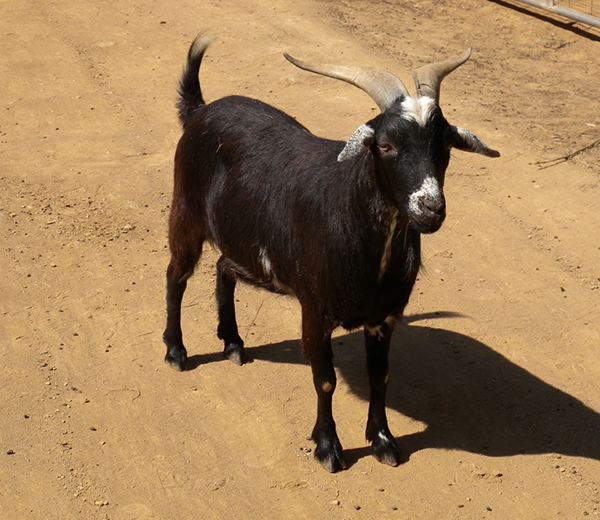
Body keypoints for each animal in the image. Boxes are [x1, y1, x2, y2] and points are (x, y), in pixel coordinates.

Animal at [162, 31, 500, 472]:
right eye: (386, 145)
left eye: (445, 146)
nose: (430, 209)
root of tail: (200, 110)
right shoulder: (315, 310)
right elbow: (324, 379)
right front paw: (328, 447)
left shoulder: (384, 317)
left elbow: (380, 376)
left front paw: (383, 440)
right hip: (185, 213)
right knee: (176, 276)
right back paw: (176, 350)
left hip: (242, 239)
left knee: (223, 267)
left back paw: (233, 342)